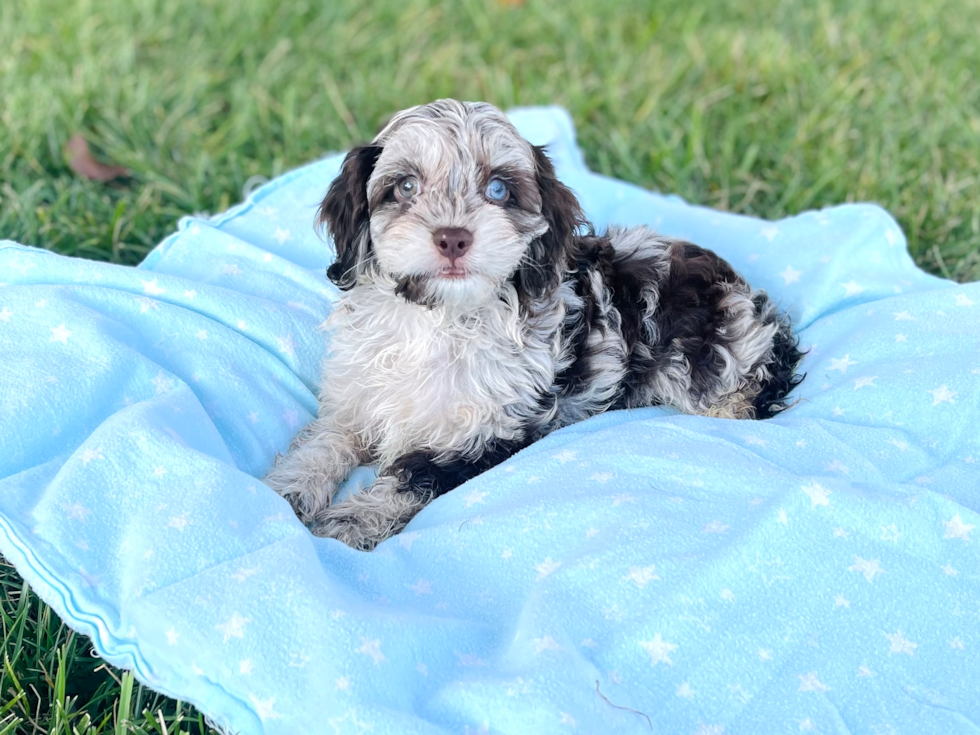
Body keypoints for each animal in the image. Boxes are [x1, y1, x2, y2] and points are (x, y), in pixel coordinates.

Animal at [262, 98, 804, 548]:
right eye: (406, 187)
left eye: (499, 188)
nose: (453, 238)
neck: (440, 319)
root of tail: (743, 288)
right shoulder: (355, 400)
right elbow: (325, 443)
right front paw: (284, 491)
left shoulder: (490, 432)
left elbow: (414, 475)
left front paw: (352, 520)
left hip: (713, 348)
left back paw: (730, 408)